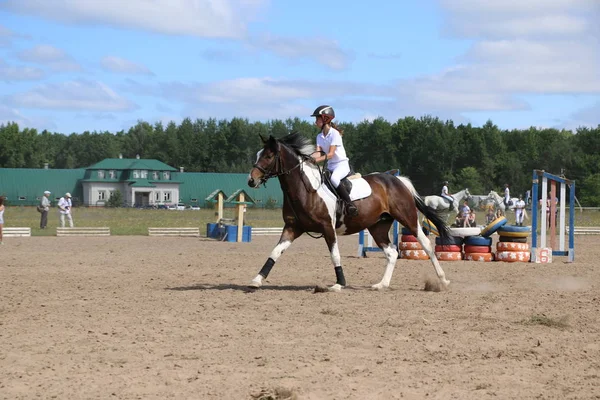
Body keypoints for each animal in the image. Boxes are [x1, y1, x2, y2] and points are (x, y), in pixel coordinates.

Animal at [245, 133, 450, 292]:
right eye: (258, 155)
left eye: (268, 156)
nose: (251, 180)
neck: (304, 190)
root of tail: (397, 180)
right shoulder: (292, 228)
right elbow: (275, 252)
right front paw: (256, 280)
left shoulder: (327, 227)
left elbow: (335, 254)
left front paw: (339, 284)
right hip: (377, 227)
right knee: (391, 252)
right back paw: (381, 284)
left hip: (408, 218)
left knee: (425, 244)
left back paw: (442, 280)